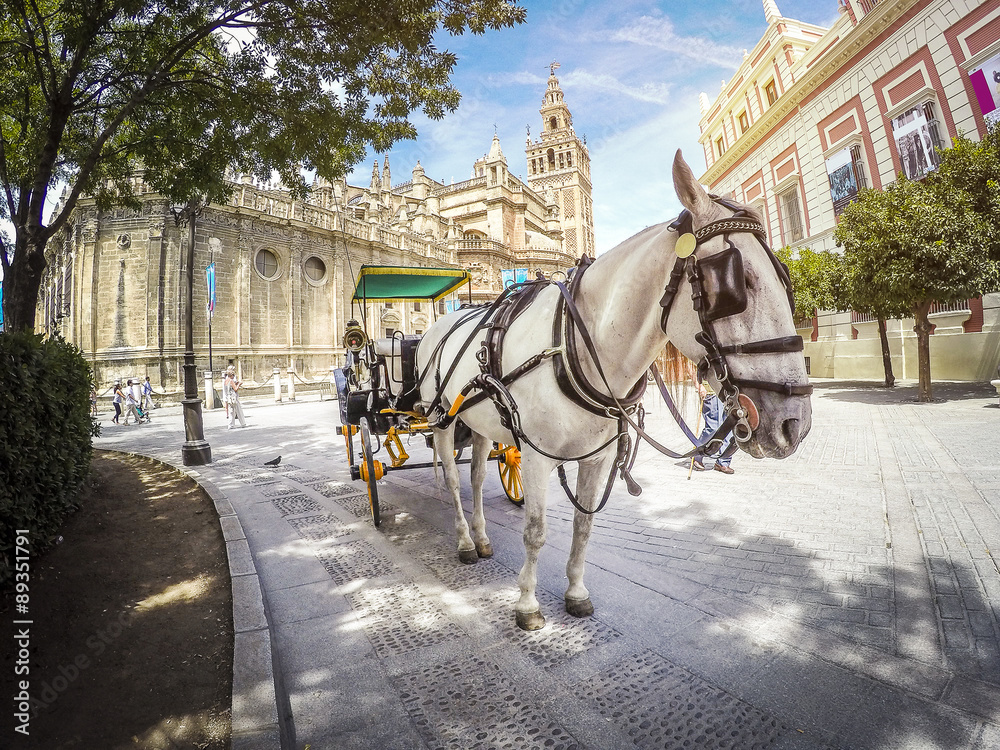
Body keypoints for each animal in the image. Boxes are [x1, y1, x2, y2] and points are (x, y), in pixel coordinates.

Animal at [416, 151, 812, 628]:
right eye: (734, 284)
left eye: (785, 278)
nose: (794, 424)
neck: (573, 343)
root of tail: (441, 321)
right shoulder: (535, 455)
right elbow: (535, 531)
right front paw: (527, 604)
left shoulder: (596, 456)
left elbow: (583, 526)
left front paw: (575, 592)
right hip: (441, 419)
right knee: (454, 481)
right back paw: (463, 542)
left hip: (478, 422)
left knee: (474, 478)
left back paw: (481, 536)